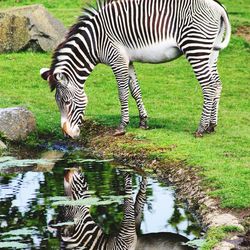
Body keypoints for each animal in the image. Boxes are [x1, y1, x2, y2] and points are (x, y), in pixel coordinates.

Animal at [40, 0, 230, 139]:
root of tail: (218, 6)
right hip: (211, 50)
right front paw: (143, 121)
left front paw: (122, 126)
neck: (94, 42)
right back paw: (212, 125)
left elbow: (122, 93)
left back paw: (201, 128)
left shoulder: (117, 61)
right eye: (58, 103)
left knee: (208, 86)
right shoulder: (128, 61)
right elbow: (135, 90)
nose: (67, 135)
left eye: (66, 102)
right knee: (217, 84)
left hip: (195, 47)